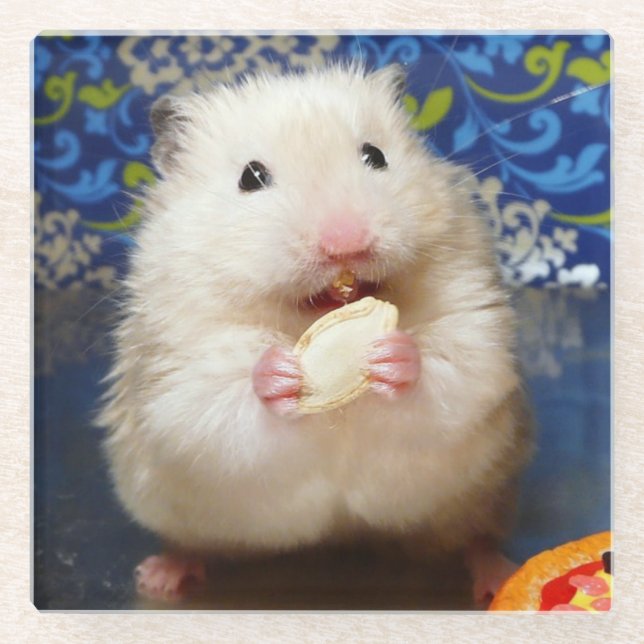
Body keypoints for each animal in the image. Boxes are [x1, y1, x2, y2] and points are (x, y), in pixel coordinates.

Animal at [99, 63, 533, 606]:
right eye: (250, 178)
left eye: (375, 155)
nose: (346, 243)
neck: (305, 319)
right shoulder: (174, 369)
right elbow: (215, 402)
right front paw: (279, 374)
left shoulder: (474, 321)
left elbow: (455, 369)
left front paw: (393, 356)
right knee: (188, 542)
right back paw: (159, 577)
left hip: (481, 497)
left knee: (474, 539)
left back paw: (496, 576)